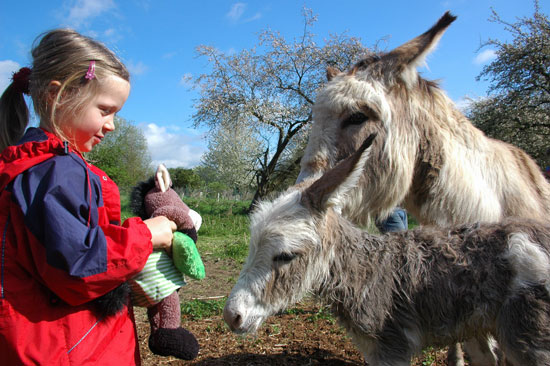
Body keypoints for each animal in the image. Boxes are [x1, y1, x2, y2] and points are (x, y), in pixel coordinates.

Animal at [224, 136, 550, 364]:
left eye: (285, 256)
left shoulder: (392, 349)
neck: (368, 271)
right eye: (252, 248)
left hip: (529, 340)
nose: (232, 316)